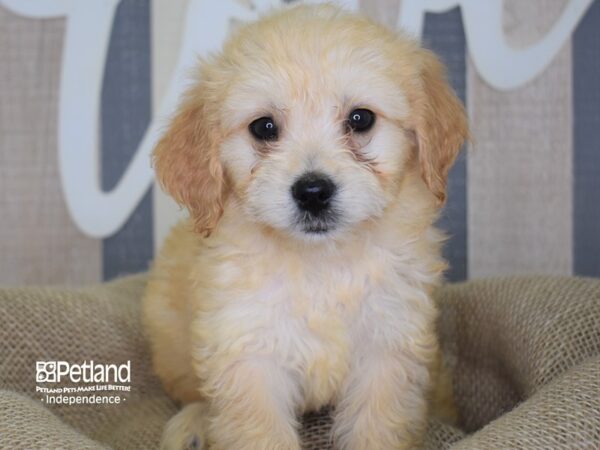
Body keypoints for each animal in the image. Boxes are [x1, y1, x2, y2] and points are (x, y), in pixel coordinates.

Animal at [142, 4, 468, 450]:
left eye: (360, 119)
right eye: (264, 127)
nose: (313, 192)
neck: (321, 264)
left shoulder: (389, 346)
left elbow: (378, 428)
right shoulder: (247, 350)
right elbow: (260, 432)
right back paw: (192, 423)